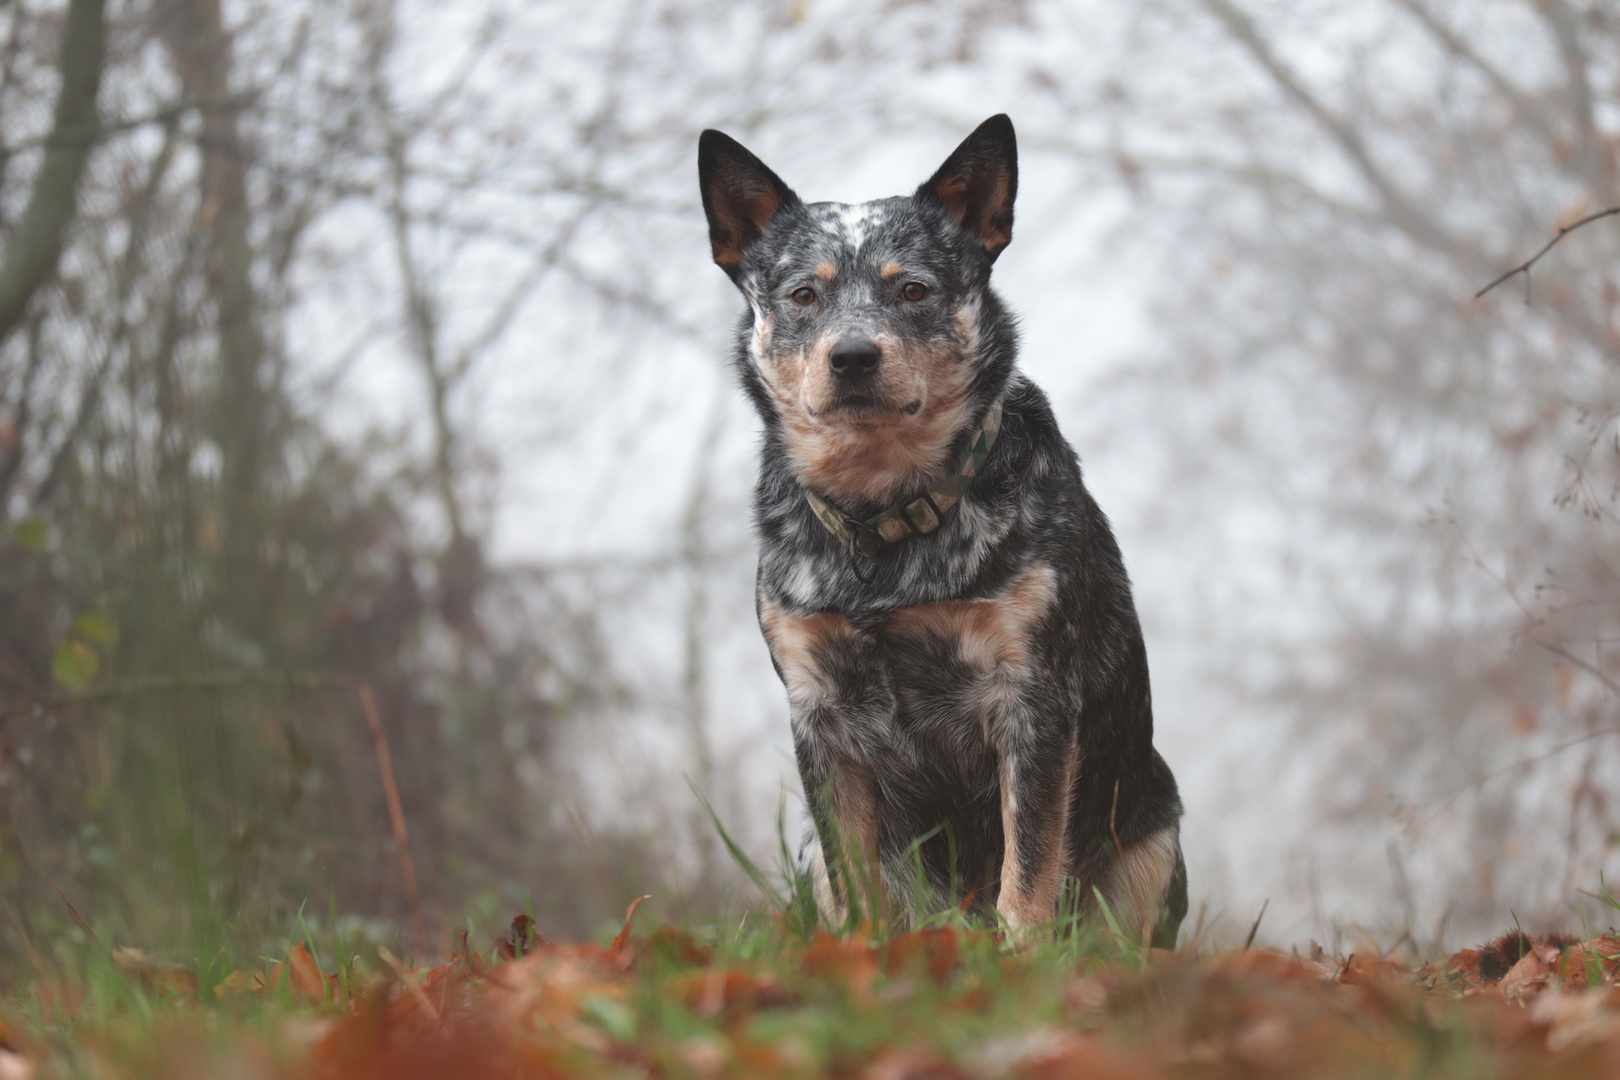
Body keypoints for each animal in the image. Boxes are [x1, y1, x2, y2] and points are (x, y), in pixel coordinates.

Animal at [699, 116, 1192, 945]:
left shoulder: (1032, 697)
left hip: (1154, 843)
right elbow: (857, 884)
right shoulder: (818, 714)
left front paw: (1022, 959)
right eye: (803, 294)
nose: (853, 356)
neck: (885, 520)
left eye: (913, 289)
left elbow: (1028, 870)